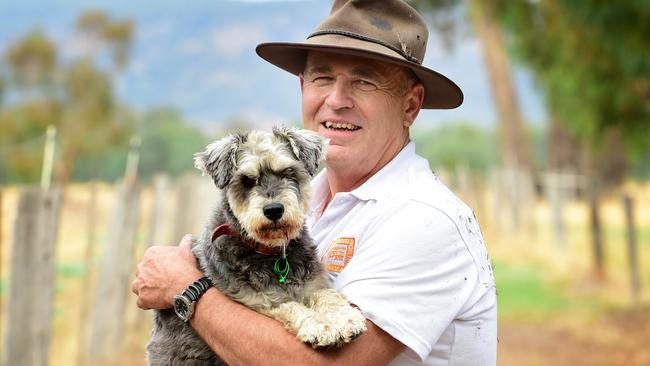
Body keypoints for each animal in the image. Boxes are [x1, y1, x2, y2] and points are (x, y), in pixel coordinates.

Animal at [147, 127, 368, 364]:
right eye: (247, 180)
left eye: (288, 172)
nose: (274, 210)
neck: (272, 252)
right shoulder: (259, 303)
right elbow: (290, 306)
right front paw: (320, 326)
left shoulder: (313, 285)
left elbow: (327, 294)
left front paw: (345, 319)